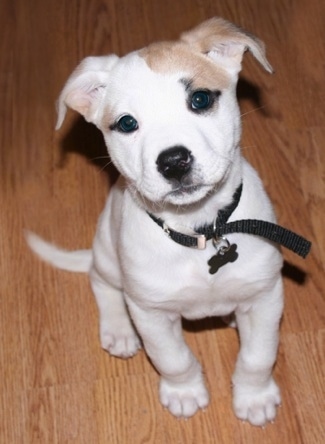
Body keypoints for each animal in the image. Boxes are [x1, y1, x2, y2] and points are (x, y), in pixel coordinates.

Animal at [28, 18, 286, 426]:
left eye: (200, 100)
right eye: (126, 123)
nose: (174, 161)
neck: (198, 231)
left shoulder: (265, 295)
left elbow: (258, 356)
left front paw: (254, 397)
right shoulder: (150, 313)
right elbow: (173, 358)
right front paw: (185, 392)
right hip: (107, 254)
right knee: (101, 282)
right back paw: (118, 330)